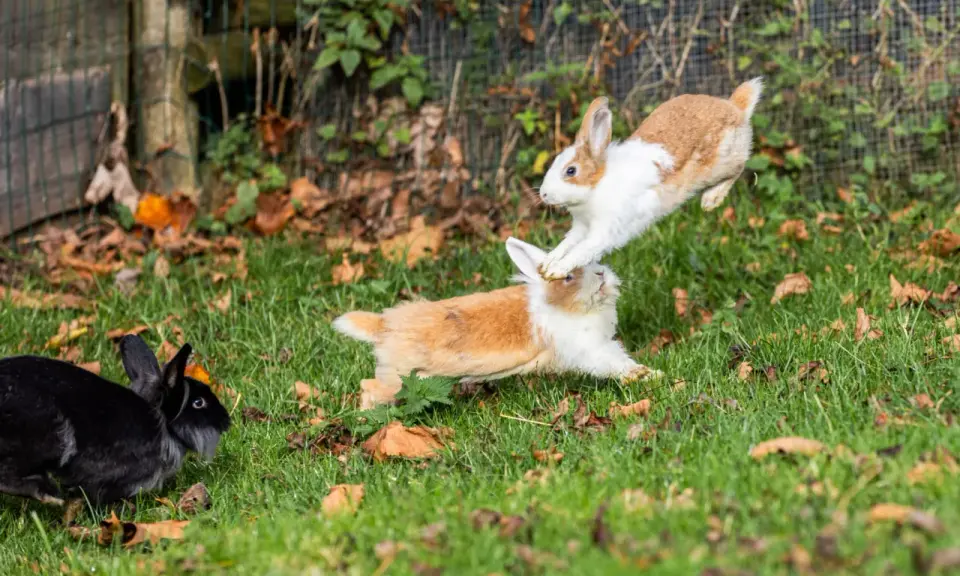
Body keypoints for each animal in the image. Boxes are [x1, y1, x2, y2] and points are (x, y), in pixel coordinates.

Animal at [333, 237, 660, 409]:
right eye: (568, 276)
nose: (602, 274)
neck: (561, 305)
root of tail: (382, 326)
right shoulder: (591, 350)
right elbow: (616, 363)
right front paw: (650, 375)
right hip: (399, 379)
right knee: (369, 386)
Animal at [537, 78, 764, 280]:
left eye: (571, 171)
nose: (543, 194)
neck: (597, 185)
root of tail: (736, 108)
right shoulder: (581, 227)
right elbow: (567, 244)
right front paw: (546, 263)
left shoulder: (603, 232)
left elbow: (581, 251)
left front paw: (555, 271)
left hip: (719, 164)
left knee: (740, 166)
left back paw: (710, 200)